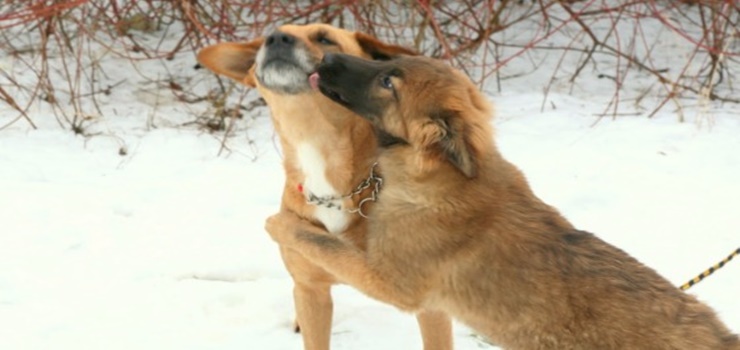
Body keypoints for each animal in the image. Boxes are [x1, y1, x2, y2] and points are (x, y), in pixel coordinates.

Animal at [264, 53, 736, 348]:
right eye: (384, 64)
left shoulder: (393, 283)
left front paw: (278, 224)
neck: (440, 177)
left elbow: (318, 240)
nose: (324, 58)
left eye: (386, 82)